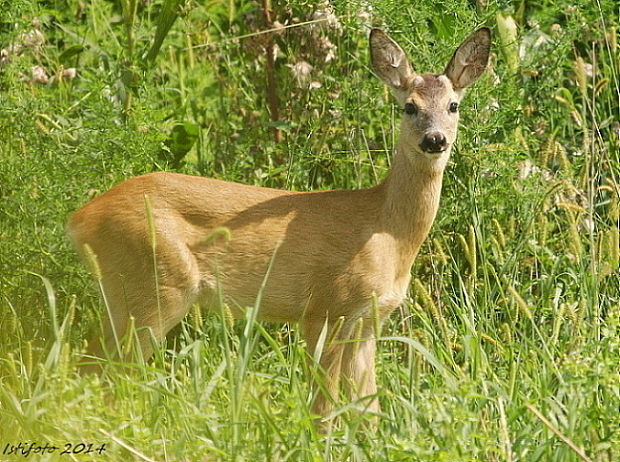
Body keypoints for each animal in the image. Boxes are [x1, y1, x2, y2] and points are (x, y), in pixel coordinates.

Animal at [70, 27, 492, 426]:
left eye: (453, 105)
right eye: (409, 106)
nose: (434, 139)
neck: (386, 231)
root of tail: (80, 218)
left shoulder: (370, 320)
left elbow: (367, 407)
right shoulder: (326, 307)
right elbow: (323, 406)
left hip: (128, 292)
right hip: (157, 285)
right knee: (103, 368)